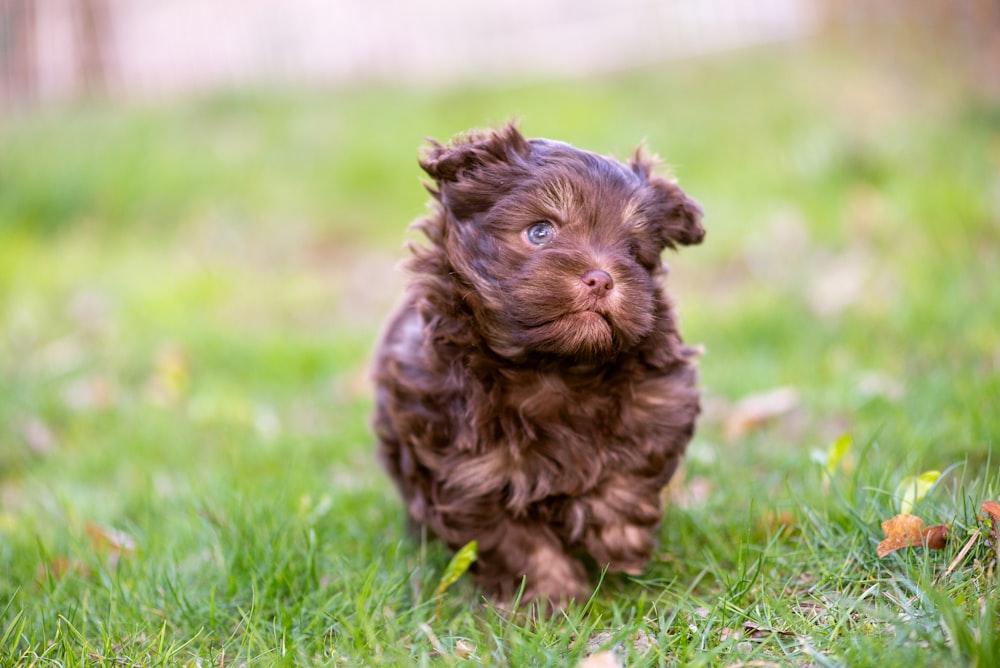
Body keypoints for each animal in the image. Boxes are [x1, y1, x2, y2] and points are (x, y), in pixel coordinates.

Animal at [374, 124, 704, 604]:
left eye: (632, 250)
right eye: (540, 232)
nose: (601, 278)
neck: (552, 367)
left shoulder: (660, 400)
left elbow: (628, 470)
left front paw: (618, 540)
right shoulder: (467, 470)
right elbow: (517, 542)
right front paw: (555, 598)